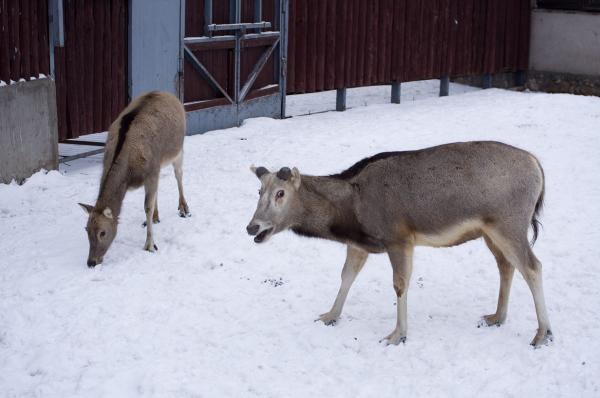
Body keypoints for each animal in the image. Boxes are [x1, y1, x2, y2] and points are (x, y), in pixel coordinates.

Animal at [78, 90, 190, 268]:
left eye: (103, 232)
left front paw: (150, 245)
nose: (91, 262)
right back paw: (156, 217)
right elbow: (150, 202)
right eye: (86, 229)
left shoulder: (151, 171)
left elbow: (147, 207)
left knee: (178, 174)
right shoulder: (152, 172)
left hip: (178, 149)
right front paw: (152, 221)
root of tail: (168, 94)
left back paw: (183, 208)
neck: (128, 176)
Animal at [245, 141, 552, 346]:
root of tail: (538, 167)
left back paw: (542, 333)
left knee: (533, 267)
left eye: (281, 193)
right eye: (259, 191)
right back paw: (497, 317)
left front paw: (397, 334)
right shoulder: (360, 244)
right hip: (491, 231)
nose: (252, 227)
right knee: (506, 266)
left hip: (509, 223)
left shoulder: (399, 237)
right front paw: (330, 315)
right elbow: (346, 276)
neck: (351, 214)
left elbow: (400, 284)